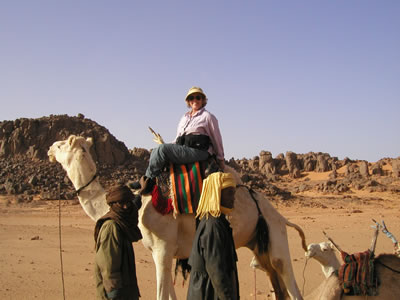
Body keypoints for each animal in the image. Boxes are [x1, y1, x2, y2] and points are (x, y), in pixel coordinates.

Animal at [48, 136, 308, 300]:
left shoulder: (163, 248)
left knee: (292, 286)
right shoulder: (162, 253)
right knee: (279, 288)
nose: (50, 149)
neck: (138, 206)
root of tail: (280, 217)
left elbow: (162, 295)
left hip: (276, 240)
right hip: (259, 246)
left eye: (62, 145)